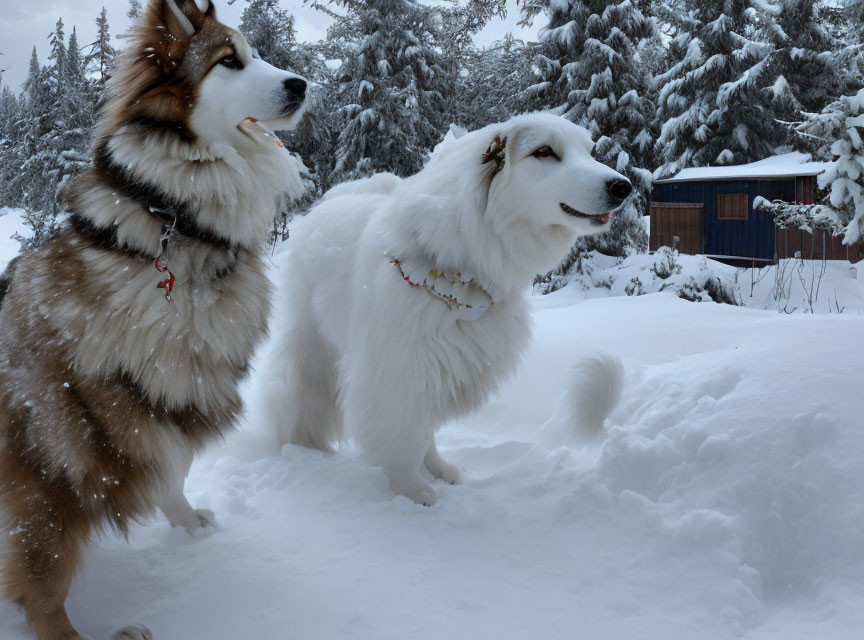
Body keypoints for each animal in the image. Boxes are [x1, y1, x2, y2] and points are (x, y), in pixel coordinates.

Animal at [0, 2, 308, 636]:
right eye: (229, 61)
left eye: (258, 53)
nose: (302, 84)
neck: (174, 222)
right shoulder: (58, 434)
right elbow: (42, 574)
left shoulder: (171, 381)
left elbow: (174, 466)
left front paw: (188, 525)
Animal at [266, 114, 632, 504]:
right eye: (544, 151)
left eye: (589, 151)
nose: (622, 186)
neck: (463, 271)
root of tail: (336, 198)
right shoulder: (398, 371)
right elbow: (401, 435)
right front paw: (410, 490)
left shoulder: (441, 367)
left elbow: (423, 431)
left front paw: (434, 470)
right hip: (313, 344)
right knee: (297, 394)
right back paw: (301, 445)